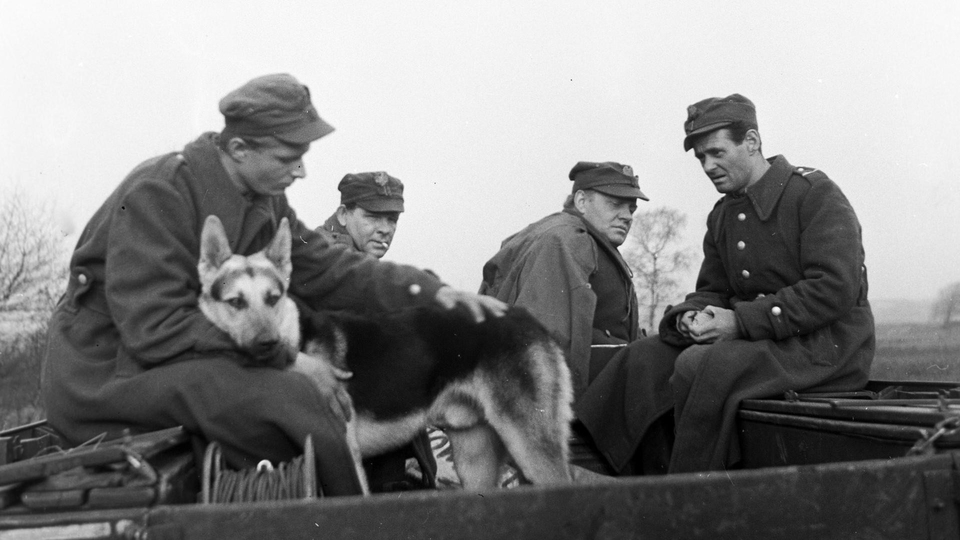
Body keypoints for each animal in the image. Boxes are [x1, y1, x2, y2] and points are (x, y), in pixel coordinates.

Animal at [197, 215, 574, 493]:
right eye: (236, 302)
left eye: (273, 298)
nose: (268, 344)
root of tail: (523, 315)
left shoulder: (346, 457)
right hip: (474, 457)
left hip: (529, 447)